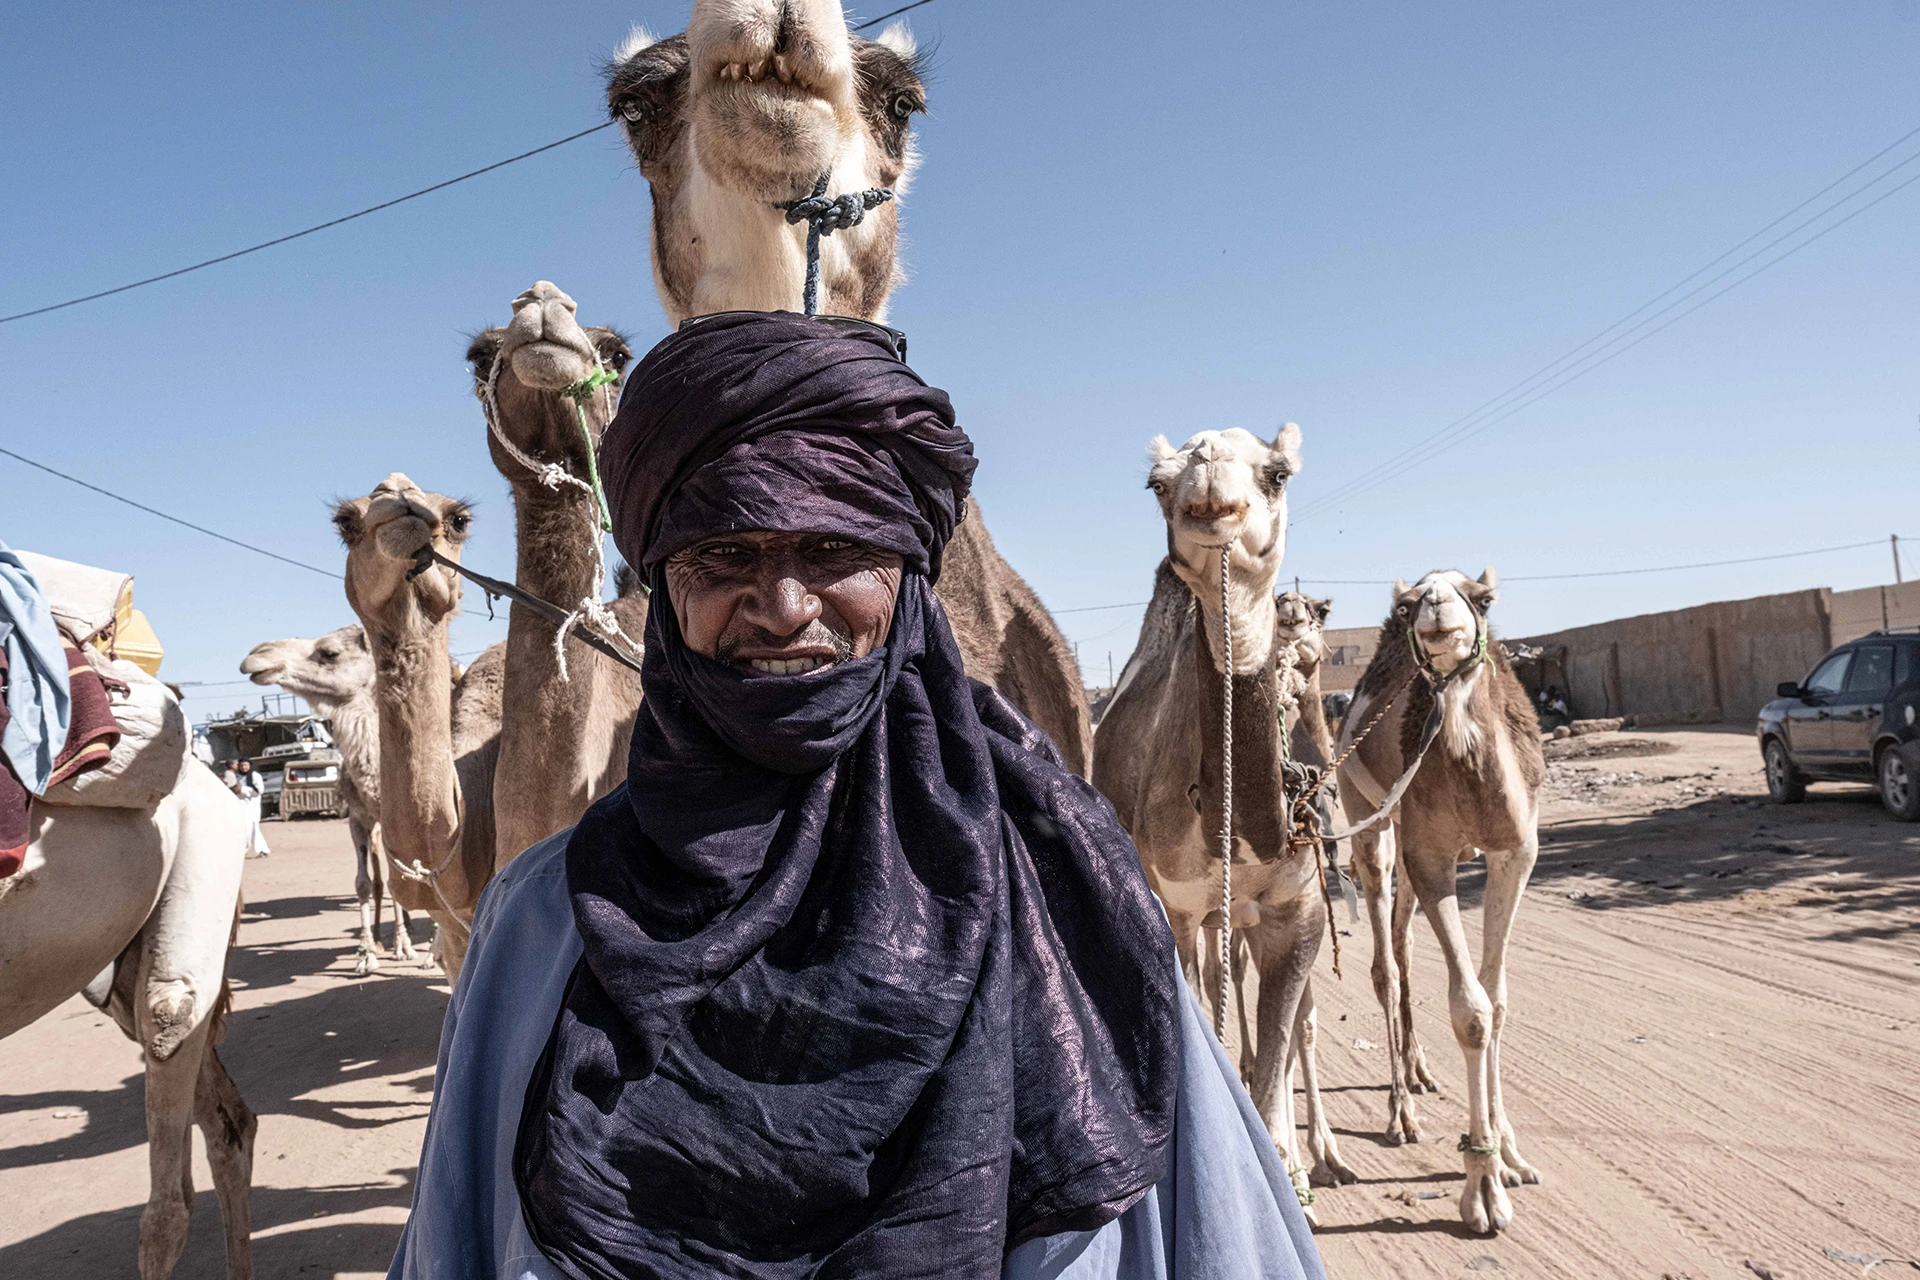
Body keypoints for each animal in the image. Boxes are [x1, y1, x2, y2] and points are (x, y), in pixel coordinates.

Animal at [241, 625, 423, 974]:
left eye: (329, 653)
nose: (255, 657)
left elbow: (395, 881)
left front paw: (406, 947)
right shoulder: (358, 818)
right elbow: (364, 883)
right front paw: (366, 954)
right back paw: (383, 937)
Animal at [1093, 425, 1350, 1202]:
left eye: (1277, 472)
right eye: (1157, 483)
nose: (1210, 489)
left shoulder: (1297, 911)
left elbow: (1280, 1041)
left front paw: (1290, 1164)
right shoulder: (1178, 905)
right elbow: (1201, 1015)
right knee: (1214, 981)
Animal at [1335, 568, 1546, 1235]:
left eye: (1483, 599)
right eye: (1406, 607)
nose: (1432, 604)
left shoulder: (1516, 853)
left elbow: (1496, 1002)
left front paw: (1510, 1154)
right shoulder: (1433, 858)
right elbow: (1471, 1011)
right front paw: (1483, 1189)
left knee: (1402, 944)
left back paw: (1419, 1071)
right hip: (1370, 822)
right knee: (1385, 963)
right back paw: (1400, 1112)